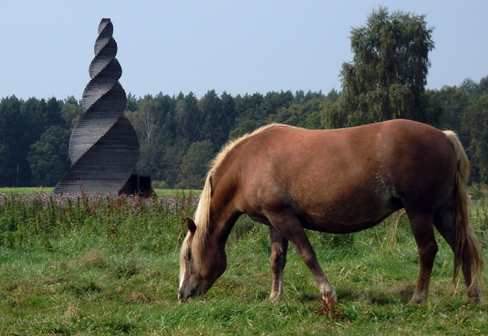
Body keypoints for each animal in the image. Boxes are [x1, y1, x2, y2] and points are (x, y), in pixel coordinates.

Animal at [177, 119, 482, 304]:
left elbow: (307, 255)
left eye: (189, 256)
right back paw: (472, 296)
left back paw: (418, 298)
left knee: (428, 250)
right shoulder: (274, 221)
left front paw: (327, 293)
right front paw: (275, 297)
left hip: (419, 211)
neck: (246, 165)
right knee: (461, 247)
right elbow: (277, 260)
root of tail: (444, 136)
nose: (182, 294)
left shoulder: (285, 218)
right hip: (441, 212)